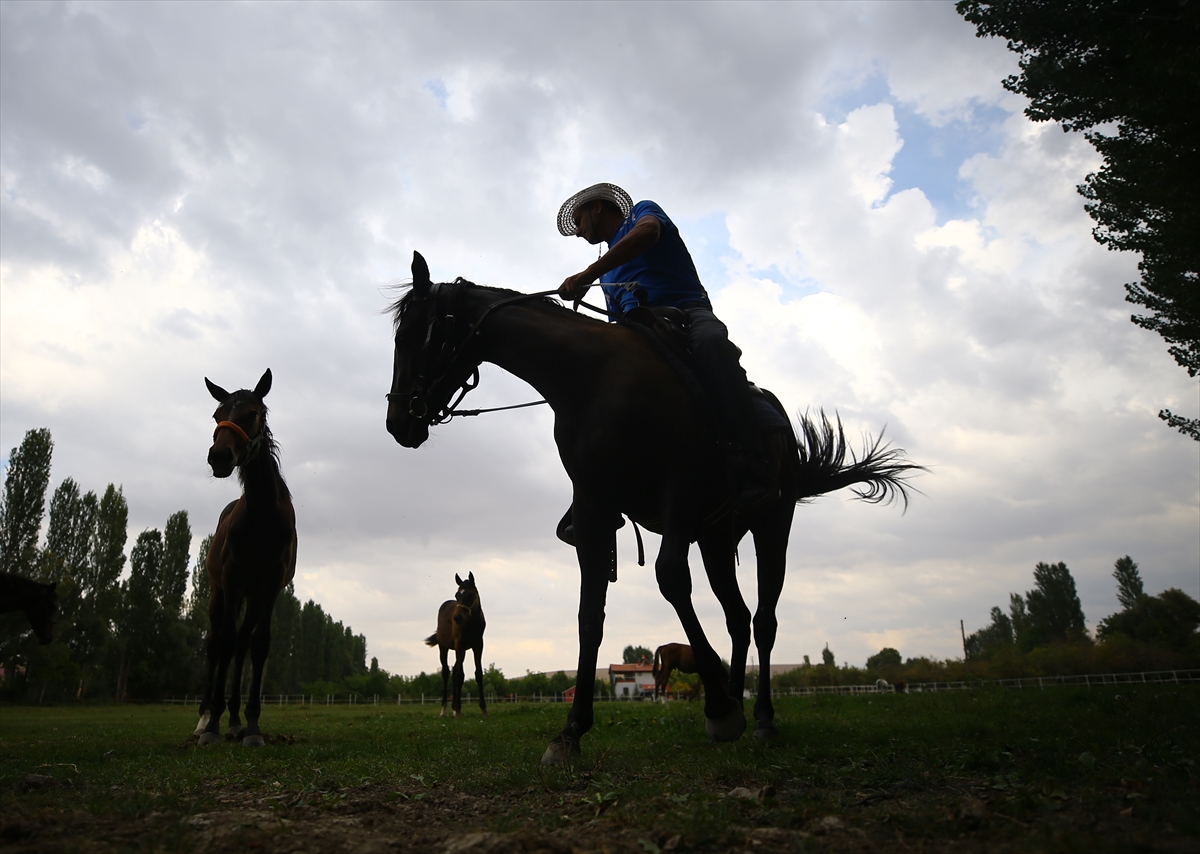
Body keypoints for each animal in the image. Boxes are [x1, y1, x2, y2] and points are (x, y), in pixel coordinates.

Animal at [195, 367, 298, 748]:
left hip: (251, 597)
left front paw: (252, 726)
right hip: (218, 592)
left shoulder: (270, 587)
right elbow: (223, 643)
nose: (219, 457)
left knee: (241, 643)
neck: (262, 518)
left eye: (253, 413)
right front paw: (212, 727)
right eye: (217, 415)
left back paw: (236, 720)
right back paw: (205, 719)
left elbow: (258, 645)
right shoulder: (232, 580)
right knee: (216, 645)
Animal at [422, 570, 487, 714]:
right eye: (457, 595)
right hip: (444, 647)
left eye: (470, 594)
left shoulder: (478, 645)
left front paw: (484, 708)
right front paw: (457, 708)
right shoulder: (459, 644)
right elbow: (459, 674)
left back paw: (453, 708)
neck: (471, 623)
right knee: (446, 672)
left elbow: (478, 673)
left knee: (454, 670)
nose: (457, 617)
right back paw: (444, 709)